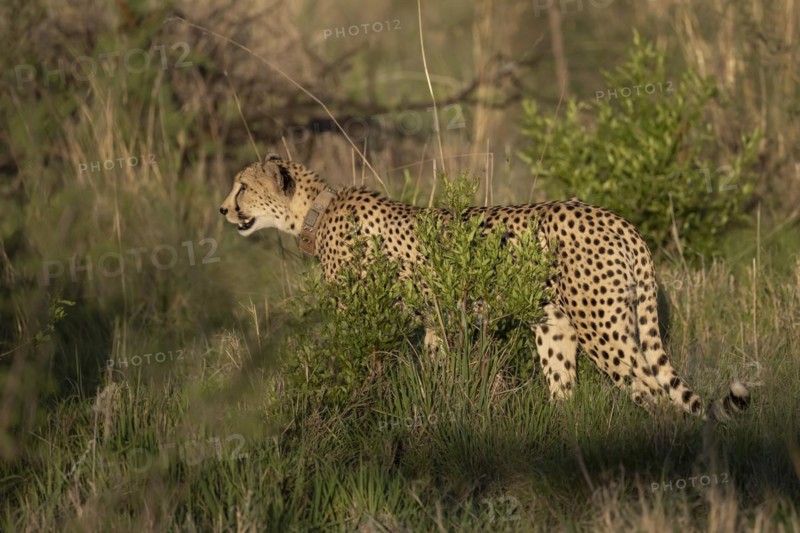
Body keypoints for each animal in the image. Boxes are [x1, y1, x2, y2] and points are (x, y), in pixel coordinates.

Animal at [219, 153, 750, 421]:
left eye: (242, 187)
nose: (224, 209)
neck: (315, 211)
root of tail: (616, 219)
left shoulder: (365, 319)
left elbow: (358, 370)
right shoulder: (433, 322)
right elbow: (436, 371)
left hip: (603, 331)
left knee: (653, 393)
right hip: (556, 327)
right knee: (567, 393)